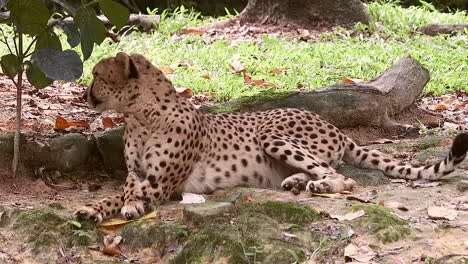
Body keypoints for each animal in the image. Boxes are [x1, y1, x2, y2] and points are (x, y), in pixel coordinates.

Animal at [76, 53, 468, 223]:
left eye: (97, 75)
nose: (85, 95)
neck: (142, 115)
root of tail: (335, 127)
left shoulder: (161, 182)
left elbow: (131, 194)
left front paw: (127, 206)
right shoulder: (136, 172)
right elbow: (120, 189)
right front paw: (94, 208)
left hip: (271, 133)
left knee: (342, 178)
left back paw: (315, 184)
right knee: (327, 171)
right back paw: (296, 182)